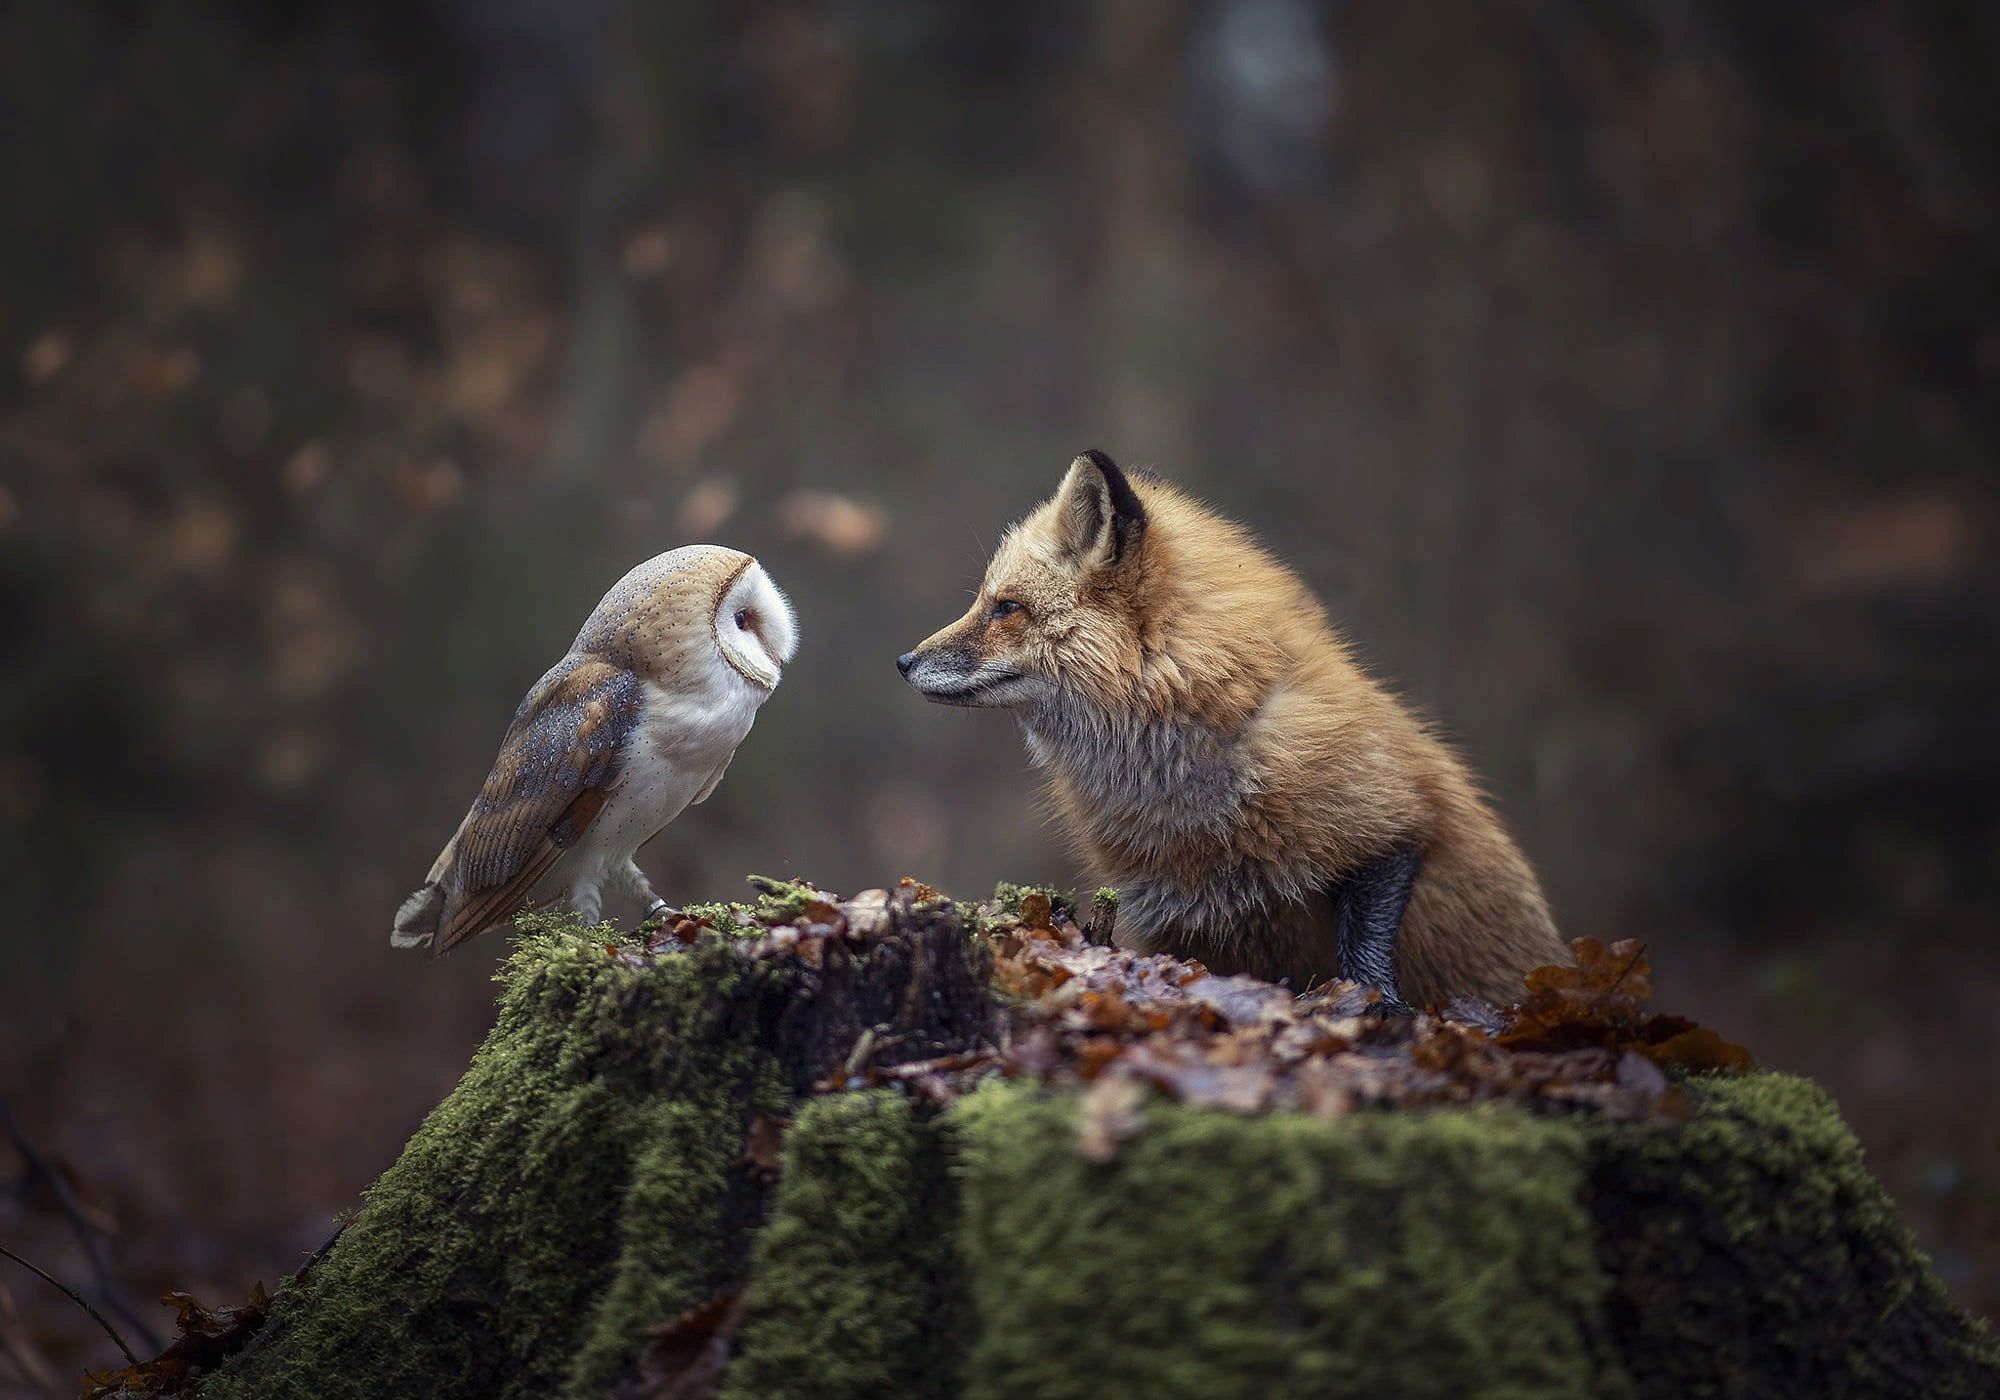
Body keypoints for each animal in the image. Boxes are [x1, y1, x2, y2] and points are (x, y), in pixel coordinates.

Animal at [900, 448, 1568, 1008]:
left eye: (1006, 608)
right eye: (987, 601)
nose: (903, 662)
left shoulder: (1392, 824)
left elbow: (1363, 957)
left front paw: (1376, 1009)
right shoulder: (1176, 920)